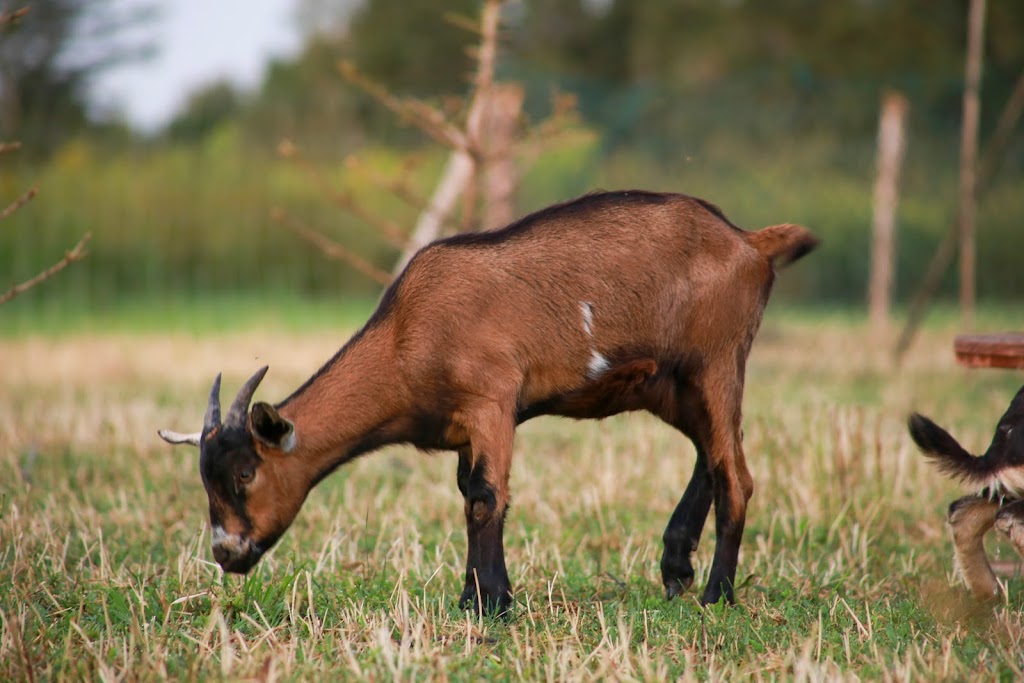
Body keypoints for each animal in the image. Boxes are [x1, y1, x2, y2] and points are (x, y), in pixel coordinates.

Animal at [157, 188, 815, 614]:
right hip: (670, 384)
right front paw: (472, 596)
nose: (227, 553)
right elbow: (466, 492)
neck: (407, 335)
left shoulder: (492, 403)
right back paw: (677, 569)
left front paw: (494, 604)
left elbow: (485, 498)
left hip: (717, 360)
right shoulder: (461, 430)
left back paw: (716, 595)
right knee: (714, 454)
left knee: (736, 475)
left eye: (245, 473)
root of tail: (749, 242)